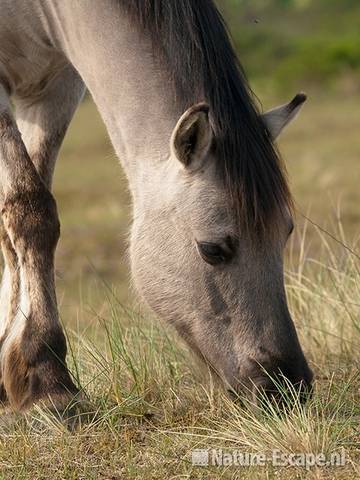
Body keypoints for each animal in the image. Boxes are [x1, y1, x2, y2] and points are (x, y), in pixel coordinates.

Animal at [0, 0, 310, 412]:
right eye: (212, 250)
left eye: (285, 235)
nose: (288, 385)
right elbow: (30, 212)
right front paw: (48, 380)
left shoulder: (55, 87)